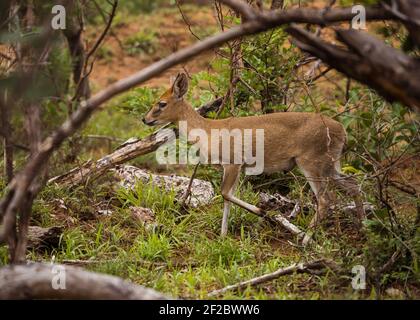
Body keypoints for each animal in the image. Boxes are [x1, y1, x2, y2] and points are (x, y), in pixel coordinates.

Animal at [144, 74, 364, 244]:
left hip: (311, 160)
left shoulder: (233, 161)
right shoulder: (233, 167)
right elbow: (227, 197)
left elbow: (224, 193)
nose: (145, 119)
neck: (208, 131)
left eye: (161, 103)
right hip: (330, 164)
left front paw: (264, 212)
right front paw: (223, 236)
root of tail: (342, 131)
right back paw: (362, 228)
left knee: (326, 198)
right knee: (354, 184)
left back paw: (305, 239)